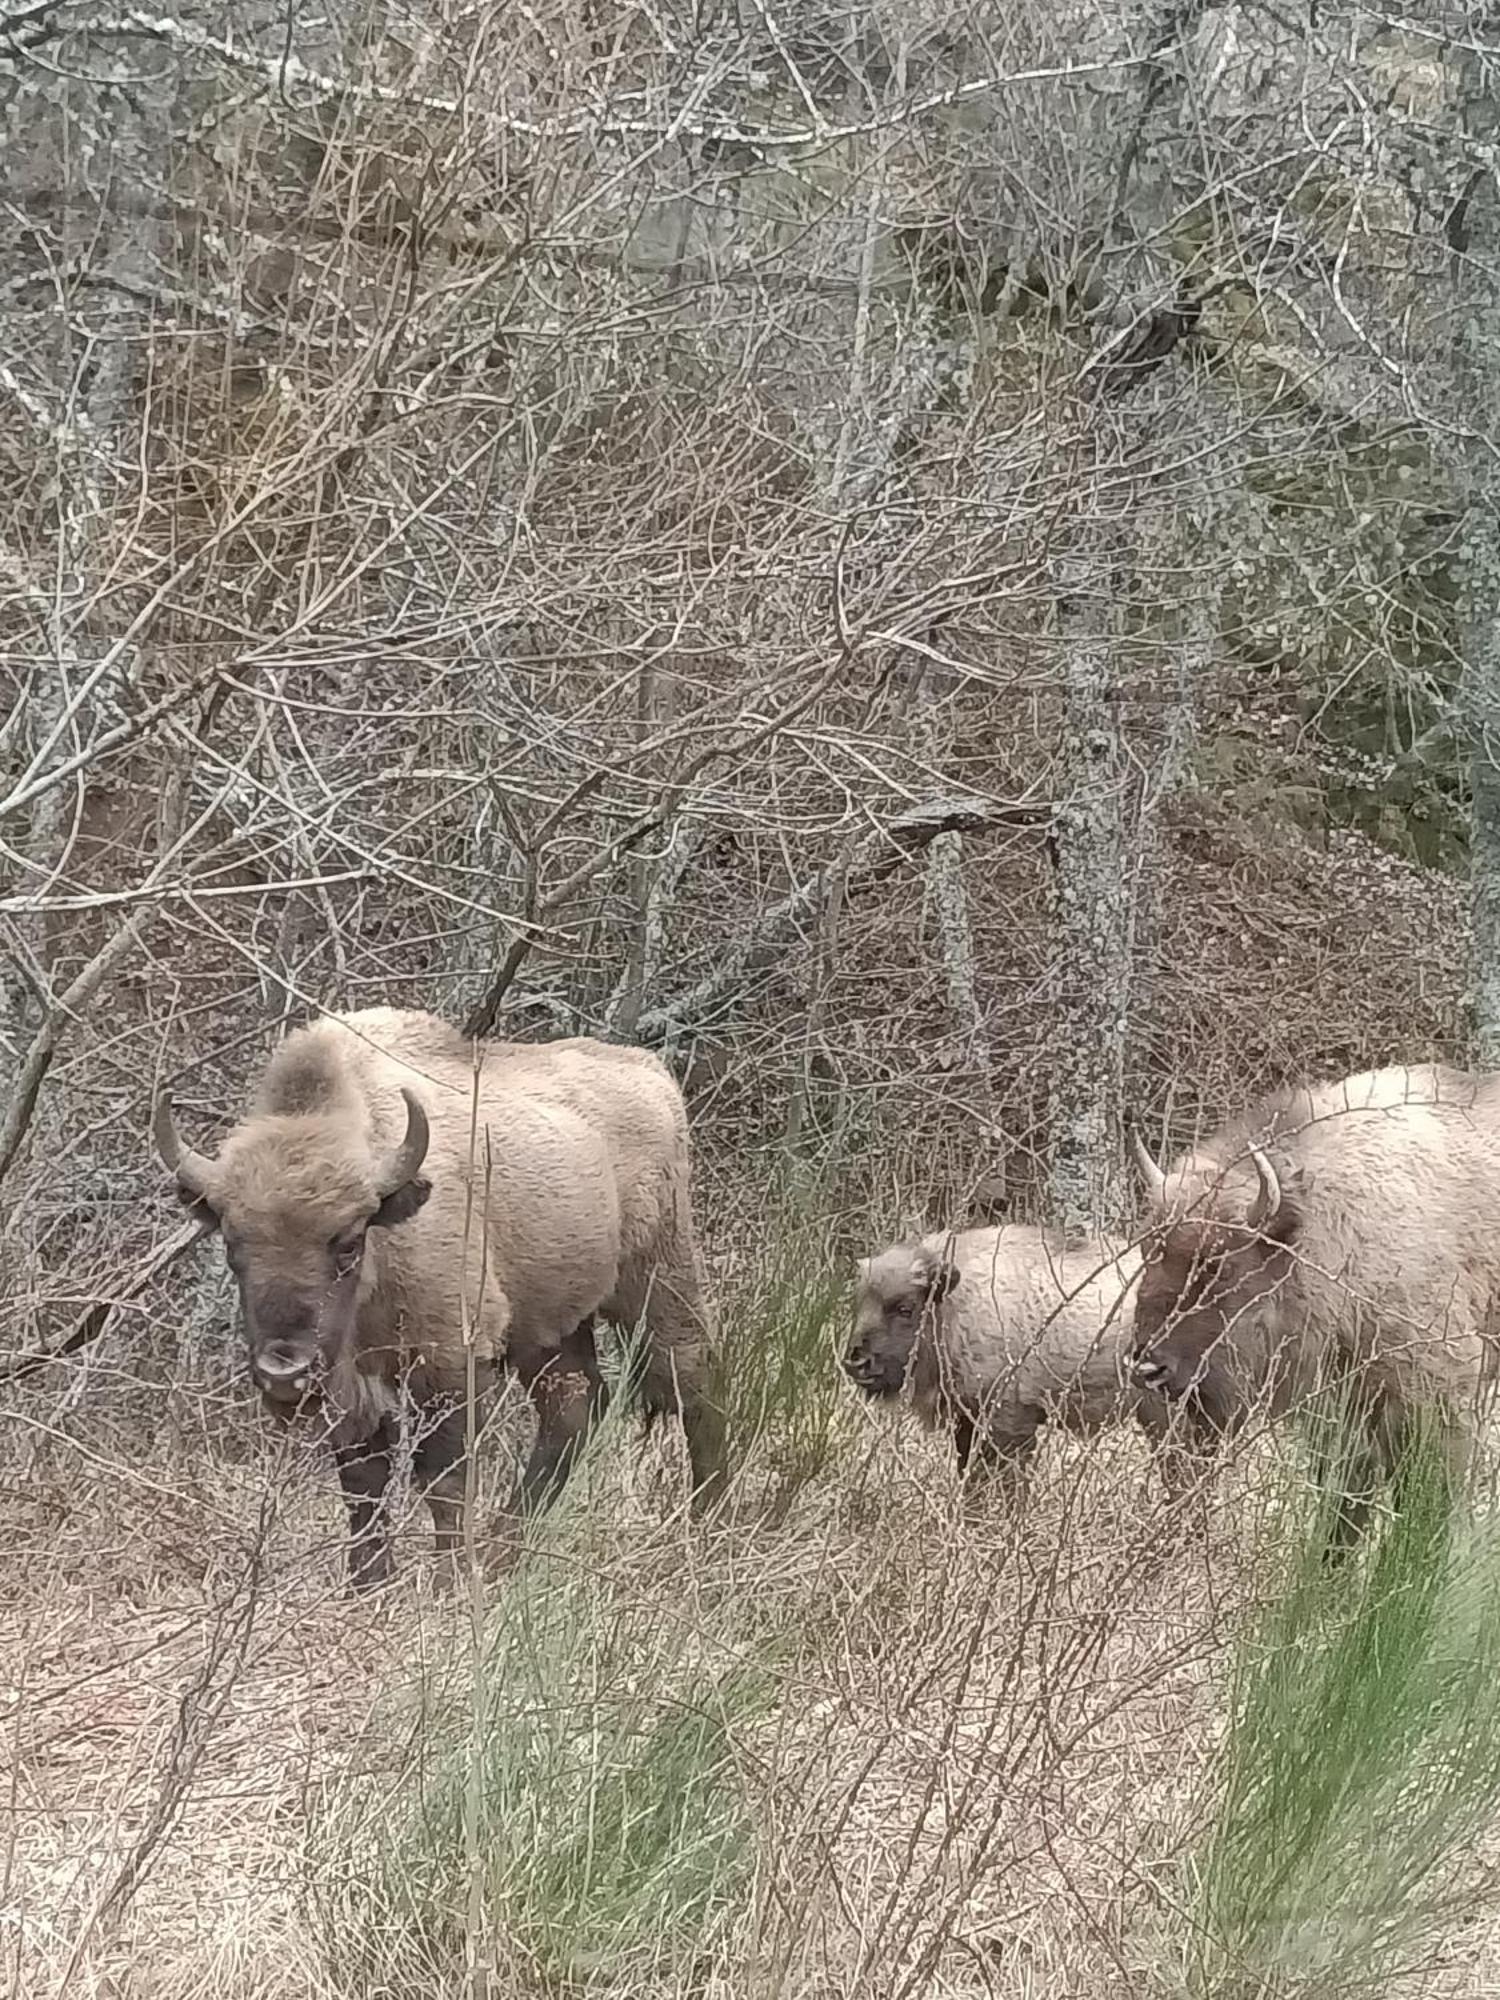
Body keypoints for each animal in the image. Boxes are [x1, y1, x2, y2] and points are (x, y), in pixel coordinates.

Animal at [156, 1008, 732, 1584]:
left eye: (348, 1241)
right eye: (232, 1244)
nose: (283, 1371)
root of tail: (652, 1076)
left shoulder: (450, 1362)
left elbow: (442, 1478)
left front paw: (447, 1580)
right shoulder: (354, 1387)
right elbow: (364, 1485)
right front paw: (368, 1583)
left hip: (655, 1282)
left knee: (692, 1383)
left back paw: (710, 1525)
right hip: (549, 1328)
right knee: (573, 1408)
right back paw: (507, 1548)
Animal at [848, 1216, 1208, 1504]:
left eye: (904, 1308)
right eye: (861, 1303)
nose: (856, 1362)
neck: (959, 1302)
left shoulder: (1010, 1424)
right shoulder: (969, 1423)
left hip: (1163, 1413)